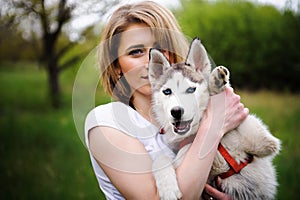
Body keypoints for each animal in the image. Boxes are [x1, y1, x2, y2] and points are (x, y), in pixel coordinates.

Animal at [149, 38, 280, 200]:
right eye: (167, 91)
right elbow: (163, 158)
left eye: (191, 89)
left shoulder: (264, 142)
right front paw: (168, 188)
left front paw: (216, 84)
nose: (176, 112)